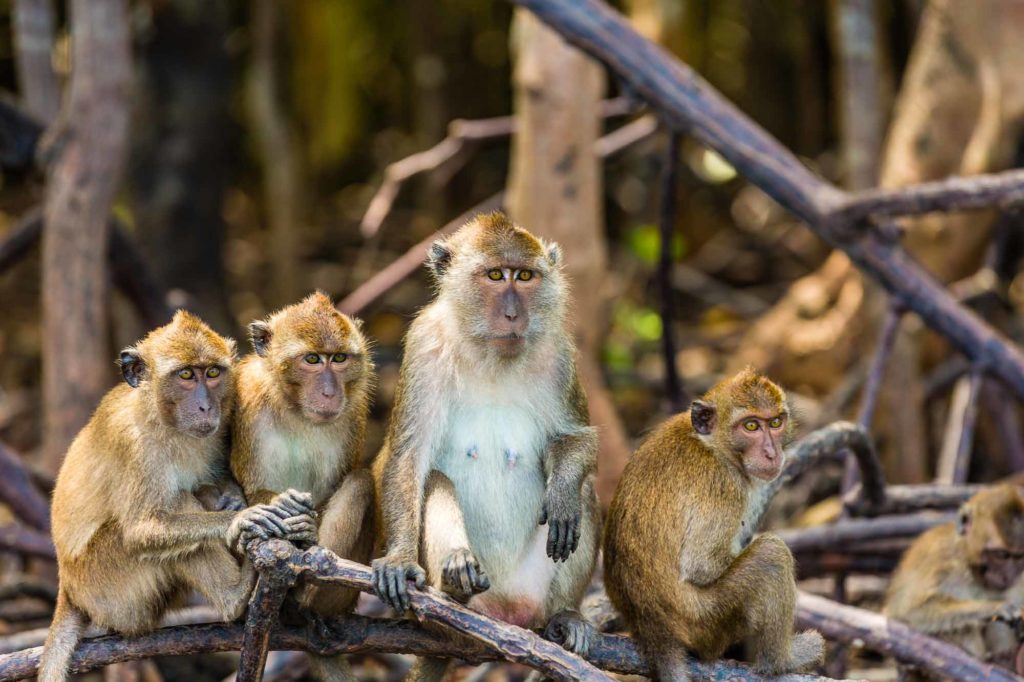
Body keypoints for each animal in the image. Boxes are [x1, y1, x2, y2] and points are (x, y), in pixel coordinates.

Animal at [37, 311, 315, 679]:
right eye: (185, 375)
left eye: (212, 373)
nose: (205, 406)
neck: (162, 419)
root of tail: (68, 588)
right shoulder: (134, 445)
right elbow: (140, 531)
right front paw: (241, 518)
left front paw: (247, 502)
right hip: (107, 587)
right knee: (177, 515)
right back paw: (235, 597)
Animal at [231, 292, 376, 679]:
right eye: (312, 359)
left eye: (338, 358)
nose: (329, 392)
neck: (296, 410)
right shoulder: (248, 404)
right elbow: (253, 490)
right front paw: (279, 508)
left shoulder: (353, 413)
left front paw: (306, 526)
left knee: (360, 483)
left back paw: (306, 599)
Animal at [370, 210, 598, 675]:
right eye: (495, 275)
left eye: (524, 276)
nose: (512, 314)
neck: (491, 357)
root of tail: (505, 613)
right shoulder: (424, 346)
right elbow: (408, 458)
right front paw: (399, 560)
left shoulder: (559, 355)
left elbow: (578, 439)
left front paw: (563, 492)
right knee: (435, 480)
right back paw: (455, 580)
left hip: (533, 590)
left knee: (585, 491)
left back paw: (565, 613)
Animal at [602, 368, 827, 675]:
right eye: (751, 426)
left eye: (775, 422)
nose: (771, 453)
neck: (711, 444)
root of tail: (653, 630)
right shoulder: (723, 485)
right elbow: (701, 565)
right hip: (708, 624)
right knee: (772, 555)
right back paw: (781, 662)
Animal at [884, 483, 1024, 675]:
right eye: (1001, 554)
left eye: (1020, 557)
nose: (1008, 575)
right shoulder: (940, 558)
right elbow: (910, 611)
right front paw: (995, 607)